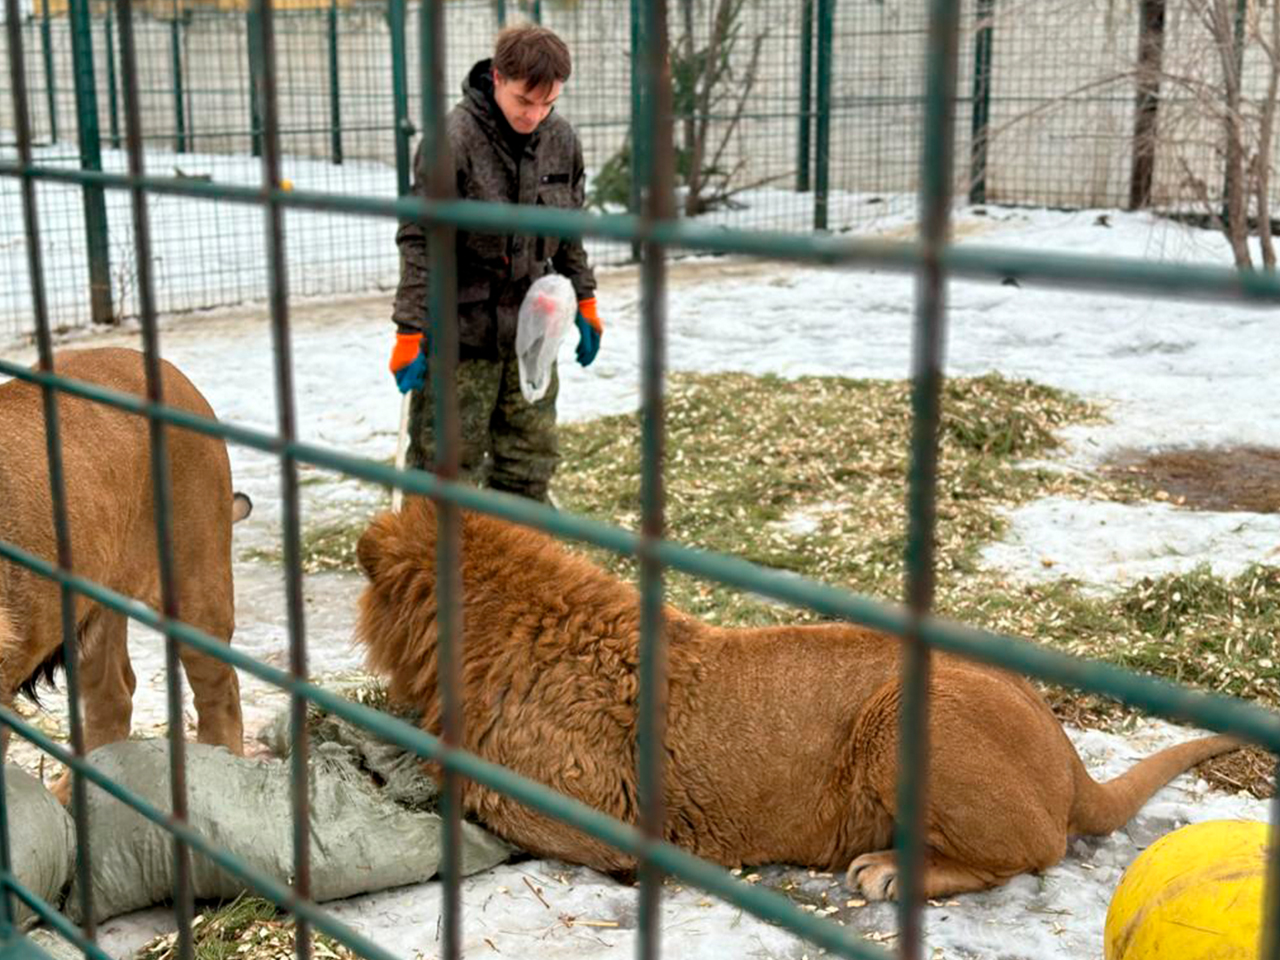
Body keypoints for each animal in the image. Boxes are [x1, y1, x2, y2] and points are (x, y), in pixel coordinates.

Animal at [353, 496, 1239, 901]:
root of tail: (1067, 752)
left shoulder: (595, 810)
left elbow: (468, 785)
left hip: (907, 719)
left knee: (1035, 852)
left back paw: (887, 872)